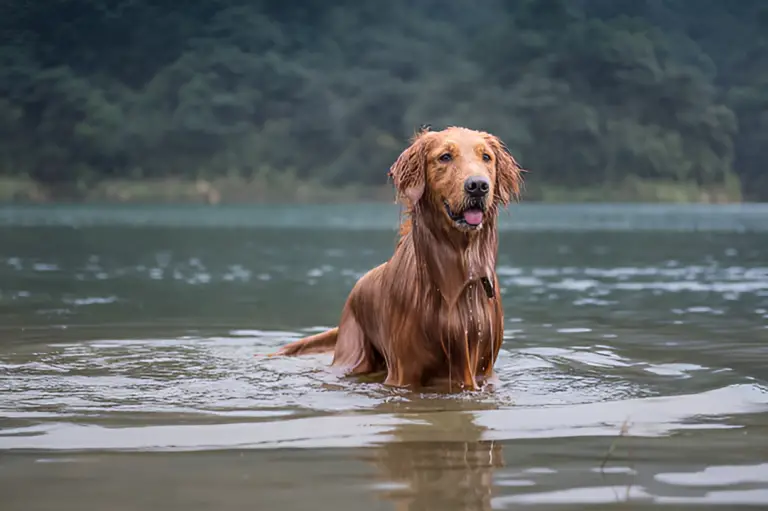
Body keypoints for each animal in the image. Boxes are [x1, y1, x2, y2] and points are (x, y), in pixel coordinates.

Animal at [268, 126, 524, 390]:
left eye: (486, 157)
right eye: (445, 157)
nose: (478, 186)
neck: (457, 268)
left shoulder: (483, 368)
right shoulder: (404, 371)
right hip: (353, 354)